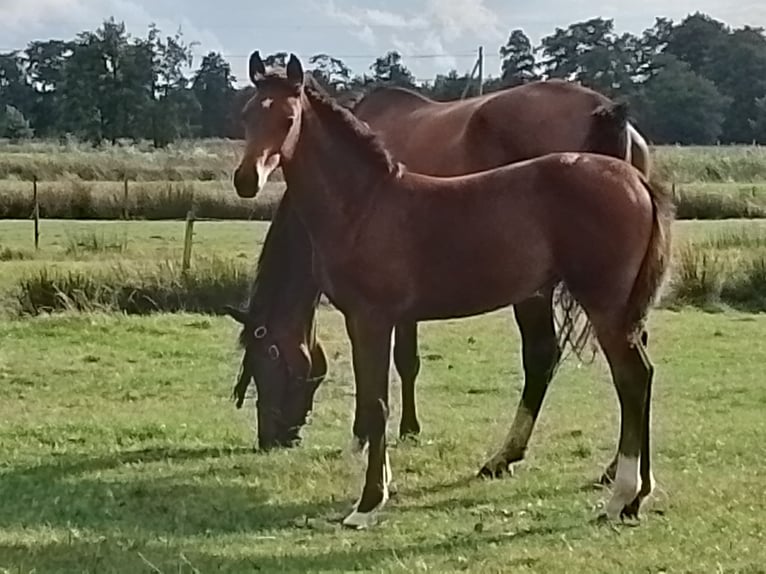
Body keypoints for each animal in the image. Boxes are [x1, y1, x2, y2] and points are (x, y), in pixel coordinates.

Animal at [232, 54, 672, 532]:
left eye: (288, 118)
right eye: (247, 115)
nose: (245, 180)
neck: (365, 204)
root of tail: (634, 180)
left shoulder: (370, 318)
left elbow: (378, 402)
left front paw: (367, 503)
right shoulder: (378, 318)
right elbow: (377, 396)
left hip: (601, 304)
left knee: (629, 376)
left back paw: (618, 494)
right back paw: (633, 490)